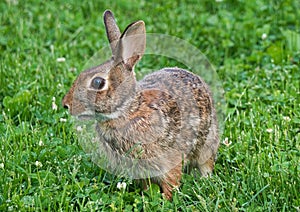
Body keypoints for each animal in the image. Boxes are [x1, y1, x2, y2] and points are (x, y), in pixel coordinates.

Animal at [62, 9, 219, 199]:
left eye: (98, 83)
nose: (66, 104)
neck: (129, 110)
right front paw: (147, 196)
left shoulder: (168, 160)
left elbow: (171, 182)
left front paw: (166, 200)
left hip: (207, 143)